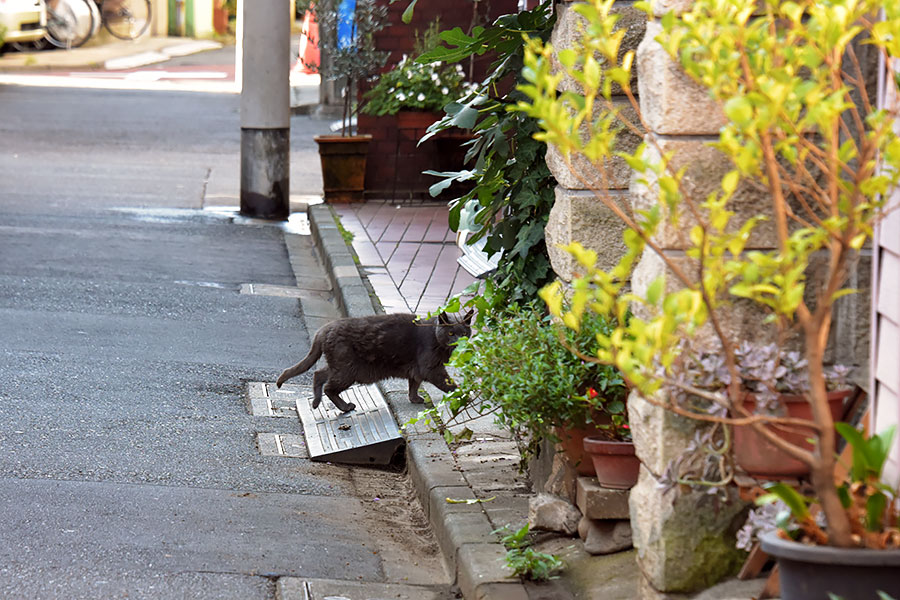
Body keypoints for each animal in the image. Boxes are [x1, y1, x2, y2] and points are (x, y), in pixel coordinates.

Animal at [274, 310, 474, 412]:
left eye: (464, 332)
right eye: (450, 332)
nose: (459, 340)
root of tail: (324, 329)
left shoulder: (417, 369)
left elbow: (414, 384)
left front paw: (414, 398)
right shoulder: (431, 368)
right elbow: (447, 383)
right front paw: (464, 395)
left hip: (339, 365)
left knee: (318, 373)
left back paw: (316, 402)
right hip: (347, 369)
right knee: (329, 387)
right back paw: (345, 407)